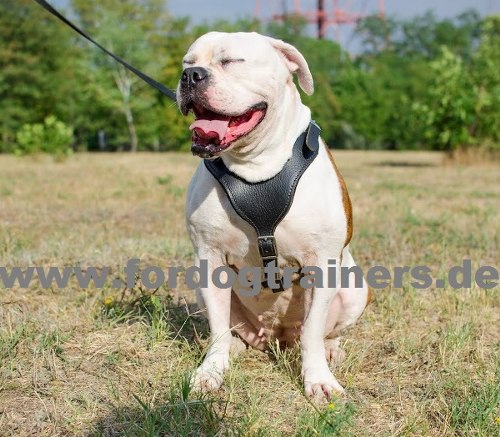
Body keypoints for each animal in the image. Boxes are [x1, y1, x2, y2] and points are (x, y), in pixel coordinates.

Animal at [177, 30, 372, 398]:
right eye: (187, 62)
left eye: (231, 61)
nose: (191, 76)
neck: (255, 164)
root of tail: (276, 338)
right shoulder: (208, 257)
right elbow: (217, 325)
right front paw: (211, 371)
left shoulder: (323, 262)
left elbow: (312, 330)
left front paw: (318, 379)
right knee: (228, 328)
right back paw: (233, 348)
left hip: (355, 287)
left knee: (326, 332)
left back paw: (330, 350)